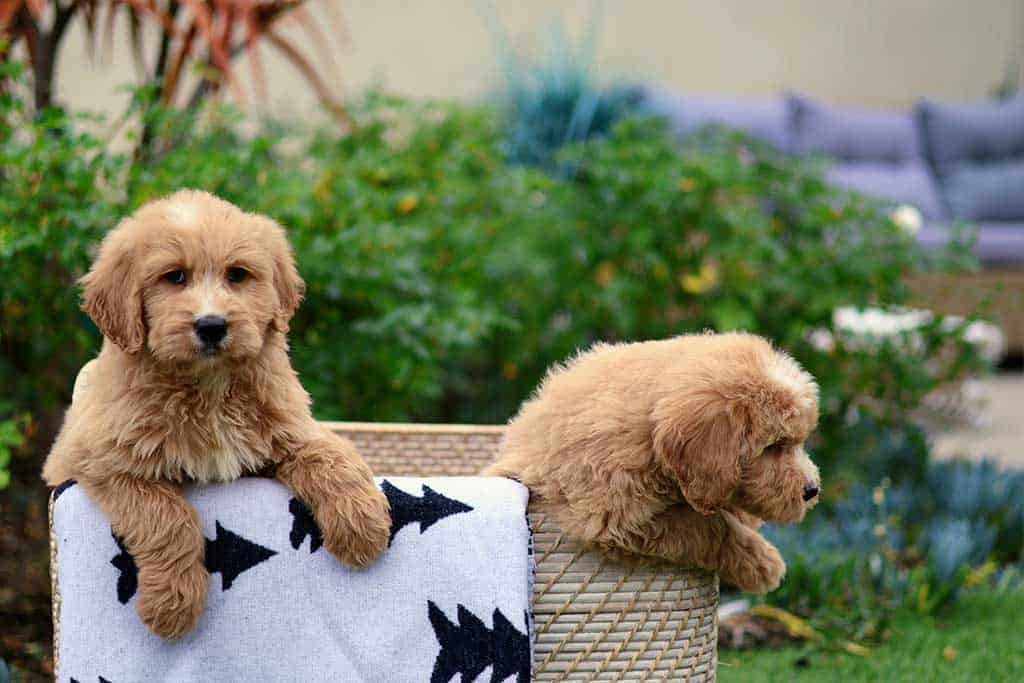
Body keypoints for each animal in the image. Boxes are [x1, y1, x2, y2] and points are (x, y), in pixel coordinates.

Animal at [43, 189, 391, 638]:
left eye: (237, 275)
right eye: (174, 277)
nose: (212, 325)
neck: (209, 388)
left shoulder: (292, 429)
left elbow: (330, 456)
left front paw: (362, 525)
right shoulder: (101, 461)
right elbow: (167, 515)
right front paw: (173, 602)